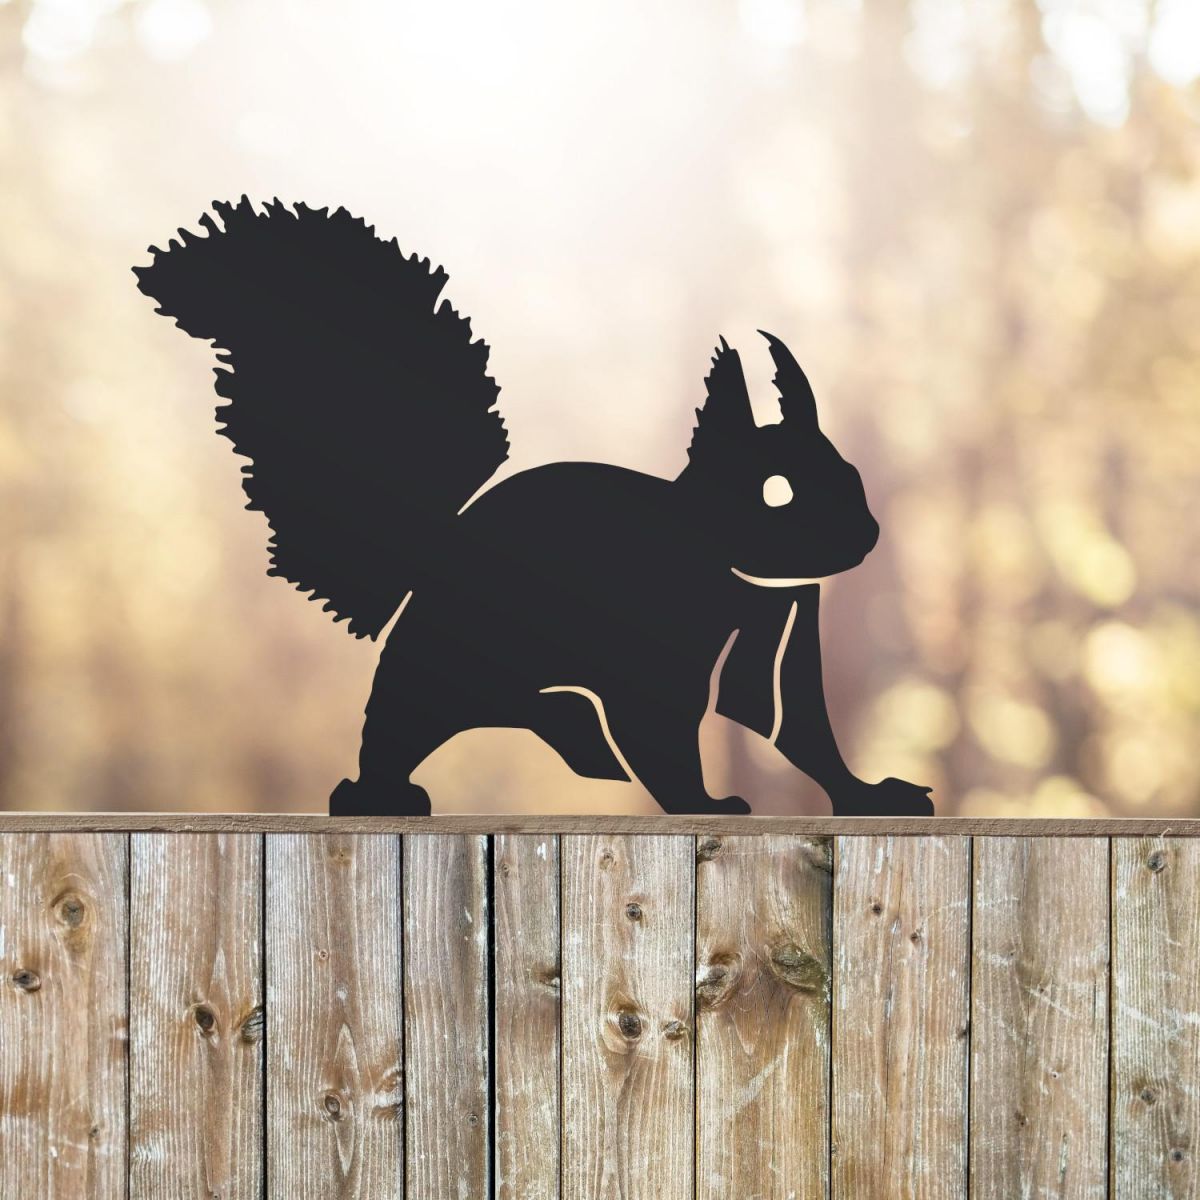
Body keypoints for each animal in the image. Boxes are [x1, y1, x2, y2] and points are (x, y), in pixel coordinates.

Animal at [135, 198, 934, 817]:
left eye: (851, 474)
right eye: (776, 491)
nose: (864, 536)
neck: (735, 570)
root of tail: (434, 547)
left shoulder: (785, 631)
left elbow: (797, 729)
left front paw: (869, 795)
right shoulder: (659, 650)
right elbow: (666, 731)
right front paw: (704, 805)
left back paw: (571, 734)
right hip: (444, 654)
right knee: (400, 721)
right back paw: (381, 794)